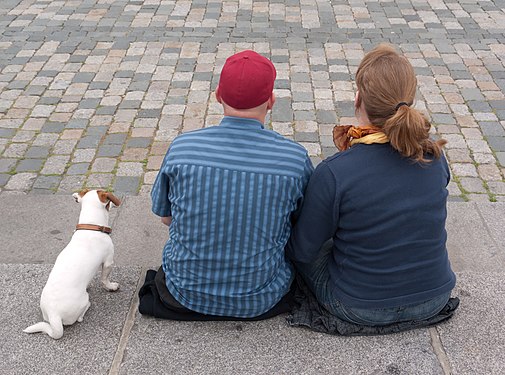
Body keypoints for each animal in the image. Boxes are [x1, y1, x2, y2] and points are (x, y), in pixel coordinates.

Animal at [24, 189, 121, 340]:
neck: (90, 226)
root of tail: (54, 315)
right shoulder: (108, 262)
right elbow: (105, 279)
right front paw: (111, 286)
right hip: (83, 301)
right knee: (80, 317)